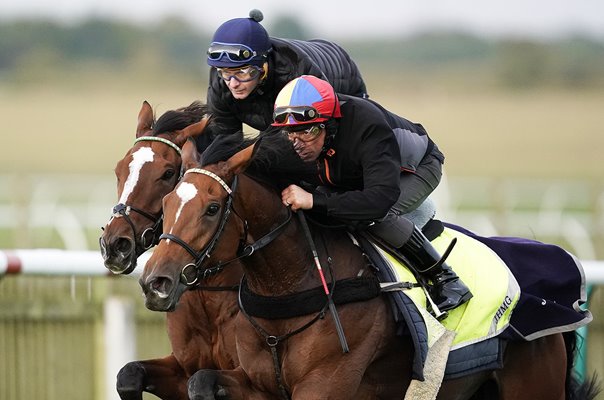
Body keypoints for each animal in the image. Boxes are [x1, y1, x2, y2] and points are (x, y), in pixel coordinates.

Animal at [142, 134, 600, 400]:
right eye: (167, 203)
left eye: (212, 208)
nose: (156, 282)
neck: (290, 288)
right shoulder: (260, 384)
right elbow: (201, 381)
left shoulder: (324, 386)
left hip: (532, 386)